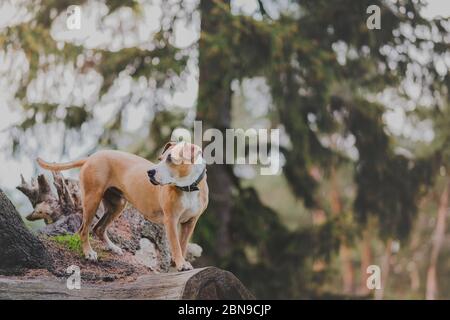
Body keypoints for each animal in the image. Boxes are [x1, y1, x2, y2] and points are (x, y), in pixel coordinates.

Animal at [37, 141, 208, 272]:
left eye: (171, 159)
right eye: (160, 158)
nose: (150, 172)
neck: (188, 187)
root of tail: (92, 157)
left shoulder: (190, 222)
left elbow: (182, 245)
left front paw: (178, 263)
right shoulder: (170, 220)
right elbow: (176, 244)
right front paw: (180, 264)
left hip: (117, 205)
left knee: (98, 228)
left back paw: (113, 248)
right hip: (92, 199)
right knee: (83, 230)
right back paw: (89, 253)